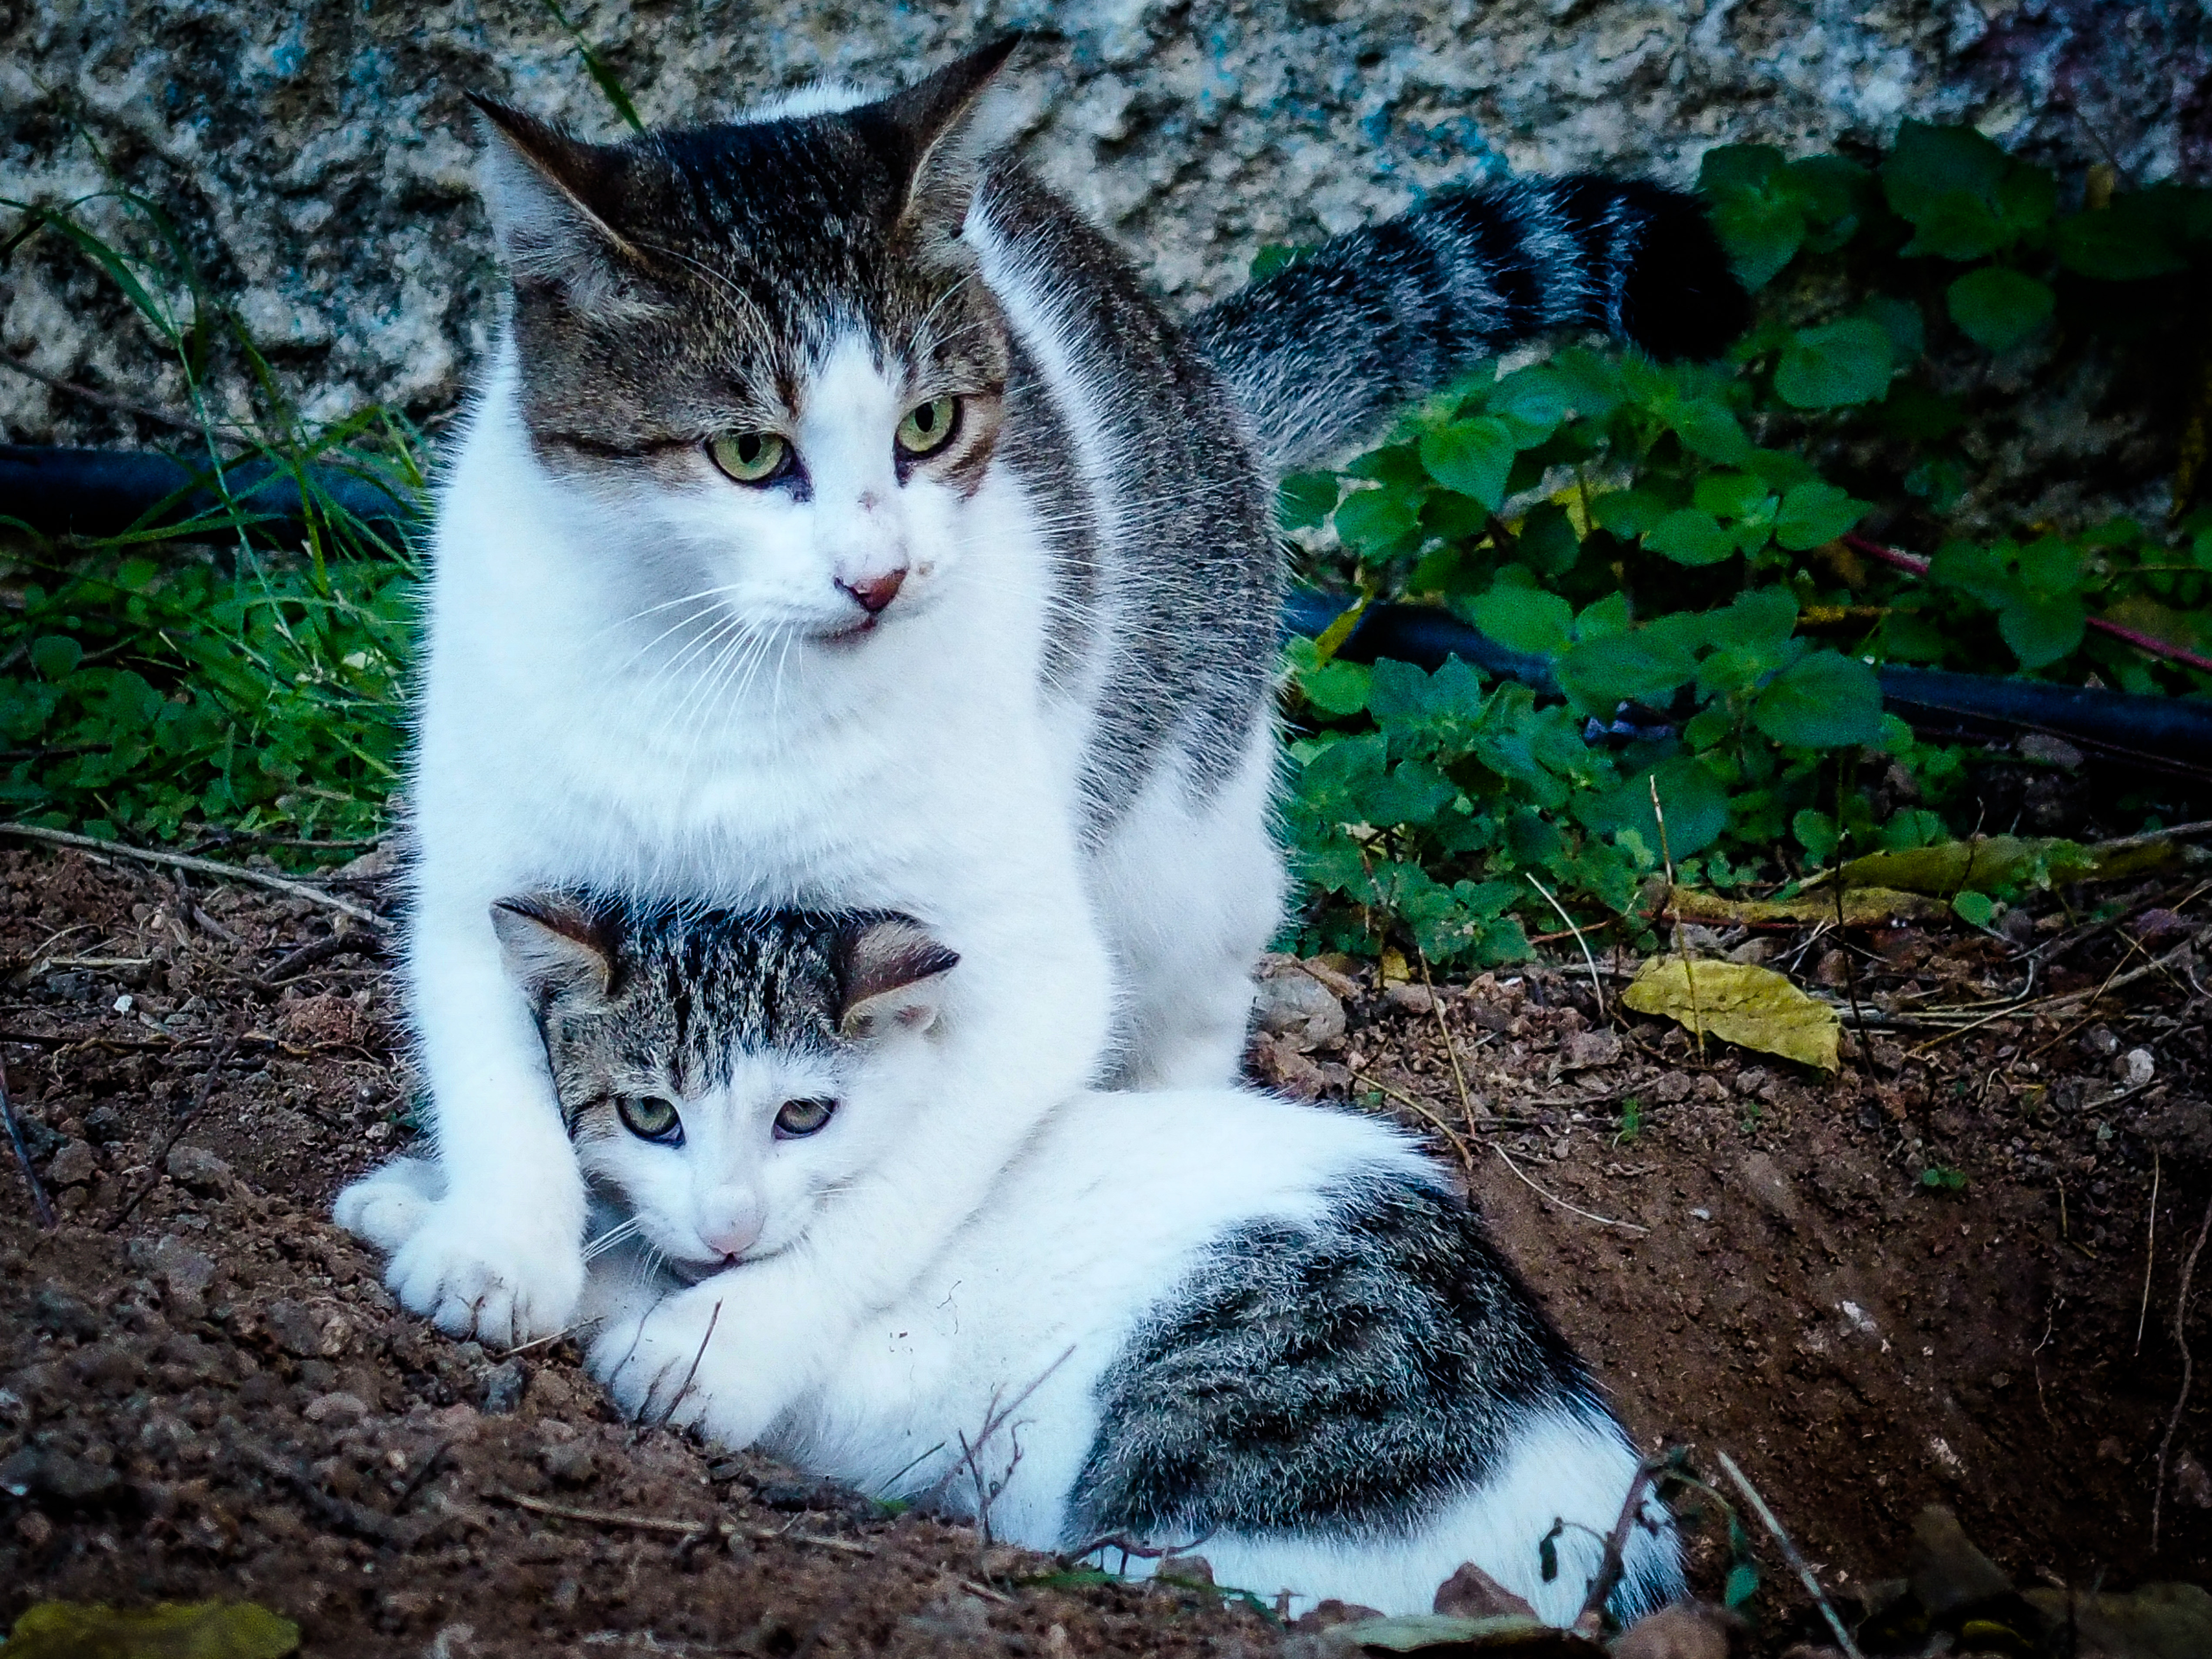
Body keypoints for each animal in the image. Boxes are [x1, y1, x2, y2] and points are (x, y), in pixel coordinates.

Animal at [336, 898, 1672, 1628]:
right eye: (652, 1116)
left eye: (803, 1118)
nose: (729, 1223)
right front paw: (424, 1199)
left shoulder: (897, 1387)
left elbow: (653, 1304)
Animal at [349, 39, 1743, 1380]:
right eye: (749, 453)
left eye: (927, 425)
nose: (881, 576)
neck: (725, 684)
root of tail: (1197, 371)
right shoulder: (481, 862)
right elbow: (496, 1073)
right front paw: (493, 1246)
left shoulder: (1028, 974)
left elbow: (888, 1196)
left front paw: (726, 1345)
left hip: (1180, 813)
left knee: (1209, 960)